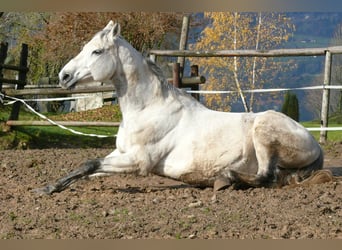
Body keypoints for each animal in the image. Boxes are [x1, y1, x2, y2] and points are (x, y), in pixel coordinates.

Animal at [36, 21, 336, 195]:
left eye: (97, 51)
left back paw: (223, 178)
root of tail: (314, 143)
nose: (63, 76)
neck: (148, 108)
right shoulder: (119, 153)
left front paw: (47, 189)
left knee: (265, 177)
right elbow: (86, 168)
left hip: (264, 132)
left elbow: (89, 163)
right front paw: (48, 187)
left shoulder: (138, 161)